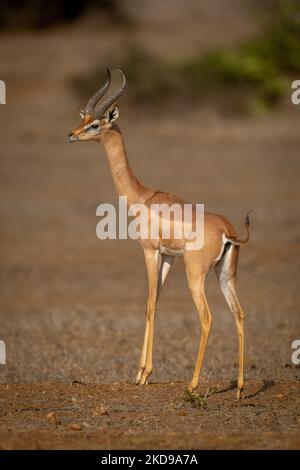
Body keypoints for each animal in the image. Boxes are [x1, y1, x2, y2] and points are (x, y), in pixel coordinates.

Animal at [68, 68, 251, 398]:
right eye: (83, 118)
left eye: (95, 123)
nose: (71, 134)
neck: (143, 196)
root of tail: (229, 231)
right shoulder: (168, 257)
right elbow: (154, 302)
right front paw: (140, 372)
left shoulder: (150, 251)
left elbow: (150, 304)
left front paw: (143, 374)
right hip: (225, 274)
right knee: (239, 314)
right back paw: (241, 388)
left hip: (196, 277)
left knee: (207, 318)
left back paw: (192, 385)